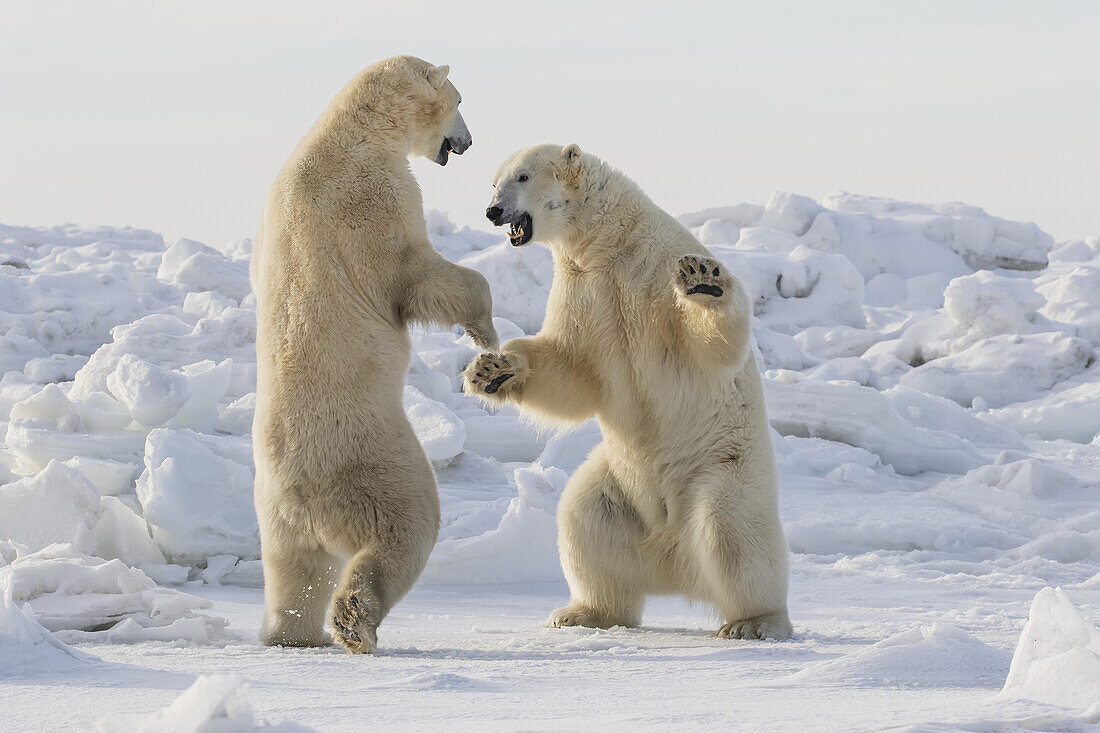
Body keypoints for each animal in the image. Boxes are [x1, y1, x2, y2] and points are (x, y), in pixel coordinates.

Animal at [251, 55, 497, 651]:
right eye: (460, 100)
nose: (468, 142)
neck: (351, 130)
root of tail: (302, 499)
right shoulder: (373, 197)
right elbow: (415, 273)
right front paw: (485, 333)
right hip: (377, 464)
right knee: (406, 528)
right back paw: (356, 622)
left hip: (273, 515)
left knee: (294, 570)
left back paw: (292, 635)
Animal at [464, 144, 792, 638]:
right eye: (493, 181)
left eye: (522, 176)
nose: (492, 211)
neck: (614, 241)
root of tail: (673, 559)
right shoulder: (583, 286)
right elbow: (572, 368)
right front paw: (491, 369)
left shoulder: (653, 269)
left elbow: (708, 346)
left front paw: (704, 281)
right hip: (619, 486)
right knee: (583, 519)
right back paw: (583, 612)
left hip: (723, 468)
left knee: (730, 531)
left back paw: (754, 621)